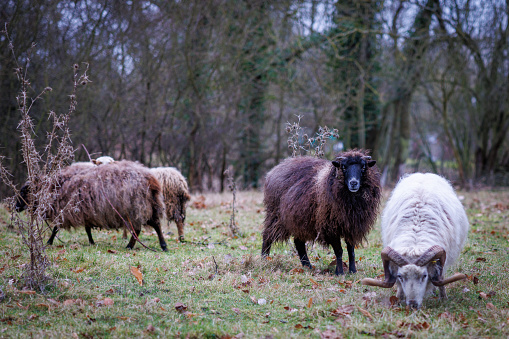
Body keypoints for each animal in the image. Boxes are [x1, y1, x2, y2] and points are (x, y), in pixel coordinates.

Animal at [14, 161, 167, 251]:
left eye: (23, 191)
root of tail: (151, 180)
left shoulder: (64, 210)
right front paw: (92, 242)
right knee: (156, 225)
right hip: (149, 207)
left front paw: (49, 241)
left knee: (140, 229)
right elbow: (87, 229)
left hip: (137, 208)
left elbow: (56, 228)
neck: (50, 188)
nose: (15, 207)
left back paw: (130, 246)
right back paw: (163, 245)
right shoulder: (86, 212)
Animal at [362, 174, 468, 310]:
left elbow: (441, 279)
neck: (415, 239)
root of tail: (424, 174)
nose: (412, 305)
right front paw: (399, 298)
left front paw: (443, 298)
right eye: (400, 276)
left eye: (424, 276)